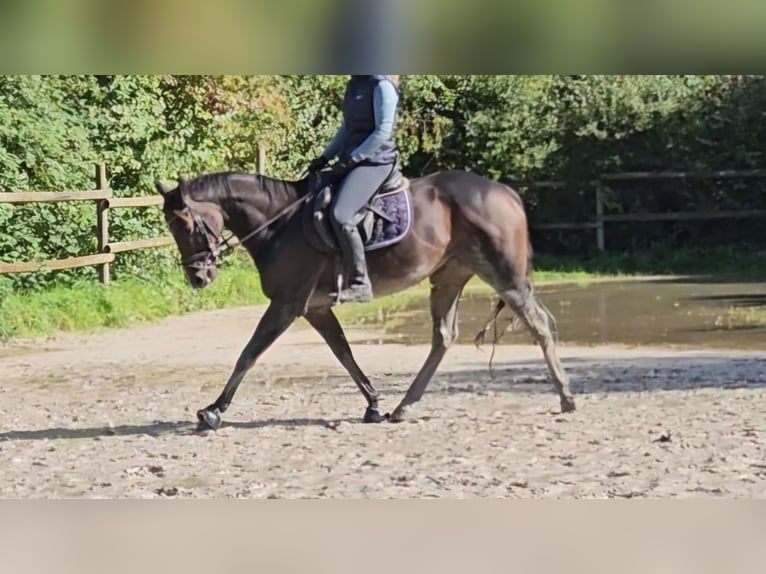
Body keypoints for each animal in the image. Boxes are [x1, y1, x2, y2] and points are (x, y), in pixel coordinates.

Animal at [156, 170, 576, 432]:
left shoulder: (288, 303)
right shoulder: (315, 308)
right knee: (443, 337)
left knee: (540, 325)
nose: (198, 277)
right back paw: (403, 407)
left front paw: (212, 412)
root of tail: (506, 192)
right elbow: (344, 353)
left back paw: (566, 397)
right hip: (448, 277)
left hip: (505, 276)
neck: (279, 224)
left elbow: (248, 353)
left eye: (186, 223)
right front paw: (373, 405)